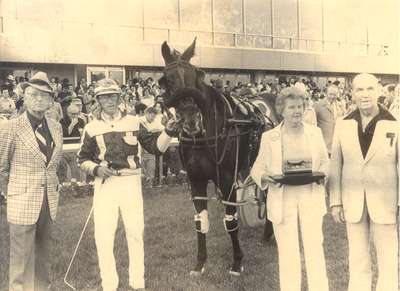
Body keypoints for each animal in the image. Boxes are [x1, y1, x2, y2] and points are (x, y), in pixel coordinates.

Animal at [159, 38, 276, 276]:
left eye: (196, 75)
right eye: (167, 80)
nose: (191, 120)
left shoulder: (227, 178)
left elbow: (230, 221)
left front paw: (237, 262)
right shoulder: (196, 179)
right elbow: (200, 221)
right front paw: (200, 263)